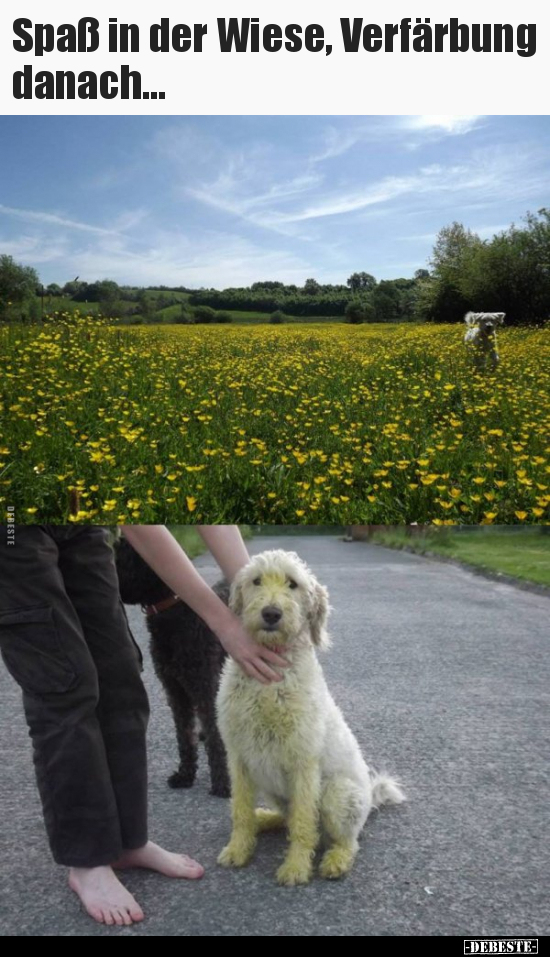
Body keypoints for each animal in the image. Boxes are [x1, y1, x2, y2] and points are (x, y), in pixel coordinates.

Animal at [115, 536, 231, 800]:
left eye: (121, 554)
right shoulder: (175, 689)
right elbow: (184, 734)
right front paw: (185, 775)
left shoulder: (203, 686)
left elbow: (215, 738)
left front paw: (222, 782)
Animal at [217, 548, 406, 884]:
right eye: (256, 581)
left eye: (293, 584)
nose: (271, 614)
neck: (270, 681)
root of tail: (370, 798)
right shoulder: (238, 756)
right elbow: (239, 809)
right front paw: (238, 849)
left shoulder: (303, 762)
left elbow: (305, 822)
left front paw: (295, 868)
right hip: (273, 787)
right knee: (286, 817)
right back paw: (263, 819)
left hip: (337, 794)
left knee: (345, 840)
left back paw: (336, 860)